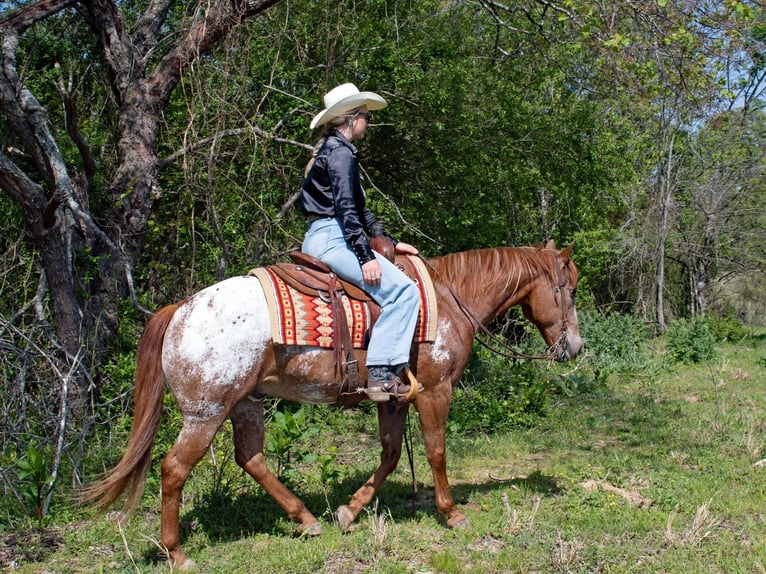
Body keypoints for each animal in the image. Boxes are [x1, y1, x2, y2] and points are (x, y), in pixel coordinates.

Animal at [84, 240, 583, 570]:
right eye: (571, 289)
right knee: (174, 470)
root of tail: (180, 310)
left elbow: (391, 454)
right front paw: (452, 513)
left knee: (251, 458)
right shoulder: (435, 390)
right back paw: (177, 552)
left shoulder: (394, 399)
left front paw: (350, 510)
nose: (575, 347)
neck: (447, 300)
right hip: (205, 414)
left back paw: (306, 519)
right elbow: (436, 452)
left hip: (245, 403)